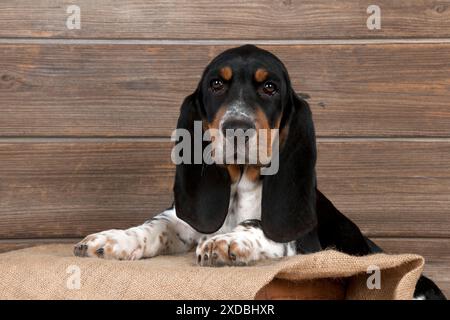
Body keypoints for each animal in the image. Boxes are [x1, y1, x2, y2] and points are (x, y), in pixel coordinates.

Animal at [72, 44, 444, 300]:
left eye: (270, 88)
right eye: (216, 85)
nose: (237, 127)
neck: (240, 183)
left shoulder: (306, 246)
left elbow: (259, 224)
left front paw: (228, 241)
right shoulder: (179, 221)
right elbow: (156, 226)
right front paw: (114, 239)